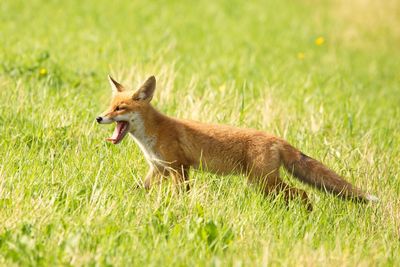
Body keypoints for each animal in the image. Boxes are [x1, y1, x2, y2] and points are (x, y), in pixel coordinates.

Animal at [97, 74, 378, 210]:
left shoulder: (179, 169)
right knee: (295, 195)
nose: (99, 117)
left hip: (263, 182)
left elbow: (180, 196)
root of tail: (278, 138)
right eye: (110, 106)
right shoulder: (158, 169)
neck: (151, 136)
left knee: (302, 192)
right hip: (263, 184)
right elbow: (137, 189)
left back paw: (307, 216)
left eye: (120, 108)